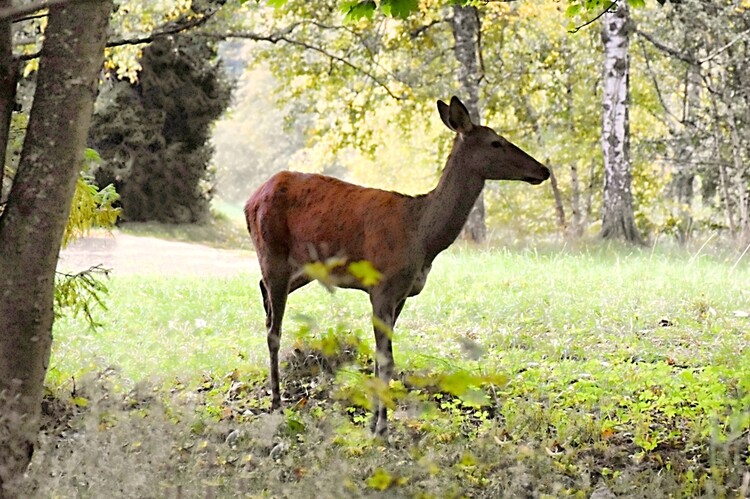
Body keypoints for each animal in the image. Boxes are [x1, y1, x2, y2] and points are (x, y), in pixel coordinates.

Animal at [247, 95, 552, 436]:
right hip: (272, 252)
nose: (543, 169)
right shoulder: (382, 285)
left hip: (303, 268)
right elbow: (386, 360)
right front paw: (381, 429)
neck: (422, 236)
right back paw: (276, 404)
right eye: (495, 142)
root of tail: (251, 200)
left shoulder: (402, 293)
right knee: (273, 330)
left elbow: (381, 359)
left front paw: (372, 421)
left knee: (263, 295)